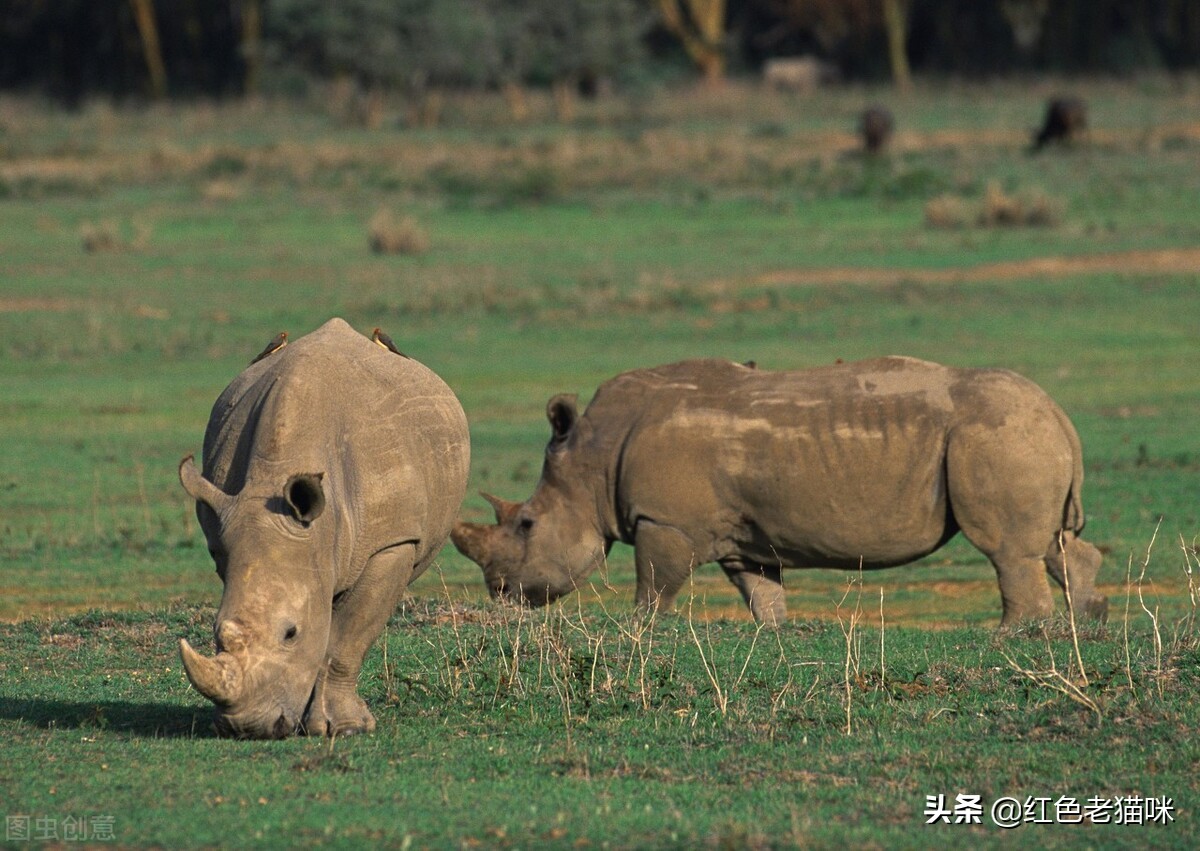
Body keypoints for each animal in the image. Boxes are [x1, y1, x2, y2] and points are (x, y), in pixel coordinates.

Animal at [177, 319, 468, 734]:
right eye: (215, 633)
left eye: (291, 633)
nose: (247, 727)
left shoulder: (392, 543)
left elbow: (346, 639)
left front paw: (345, 728)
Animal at [451, 355, 1104, 628]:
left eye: (526, 524)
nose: (501, 594)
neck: (592, 457)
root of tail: (1059, 414)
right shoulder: (742, 536)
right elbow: (761, 593)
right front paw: (774, 633)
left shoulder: (665, 521)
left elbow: (654, 588)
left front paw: (639, 631)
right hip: (1019, 435)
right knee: (1055, 543)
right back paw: (1084, 623)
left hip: (997, 436)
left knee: (1008, 549)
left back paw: (1008, 637)